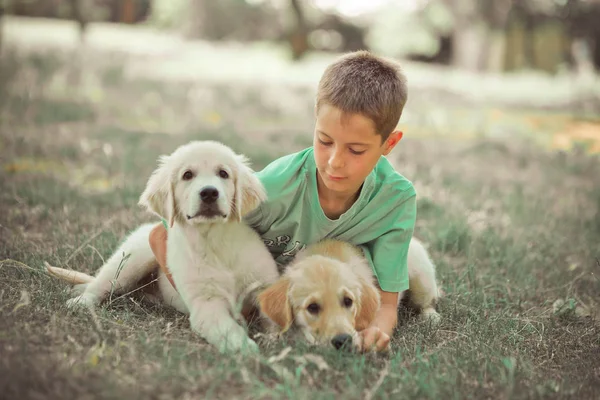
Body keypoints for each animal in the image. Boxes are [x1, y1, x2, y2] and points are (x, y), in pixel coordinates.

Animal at [48, 141, 278, 354]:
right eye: (187, 175)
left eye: (223, 173)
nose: (209, 193)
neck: (214, 241)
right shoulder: (206, 304)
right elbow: (228, 329)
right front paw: (244, 348)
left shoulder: (265, 285)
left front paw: (274, 341)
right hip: (131, 259)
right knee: (100, 285)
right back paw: (79, 301)